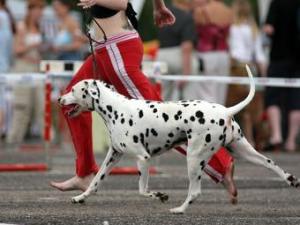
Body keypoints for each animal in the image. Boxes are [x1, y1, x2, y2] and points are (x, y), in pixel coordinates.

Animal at [57, 66, 298, 214]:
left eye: (74, 89)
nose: (59, 98)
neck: (116, 108)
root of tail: (225, 111)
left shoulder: (143, 158)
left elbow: (142, 190)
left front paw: (160, 195)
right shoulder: (113, 156)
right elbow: (95, 181)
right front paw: (80, 197)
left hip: (194, 158)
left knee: (195, 191)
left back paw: (180, 209)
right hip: (245, 152)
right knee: (272, 164)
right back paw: (291, 180)